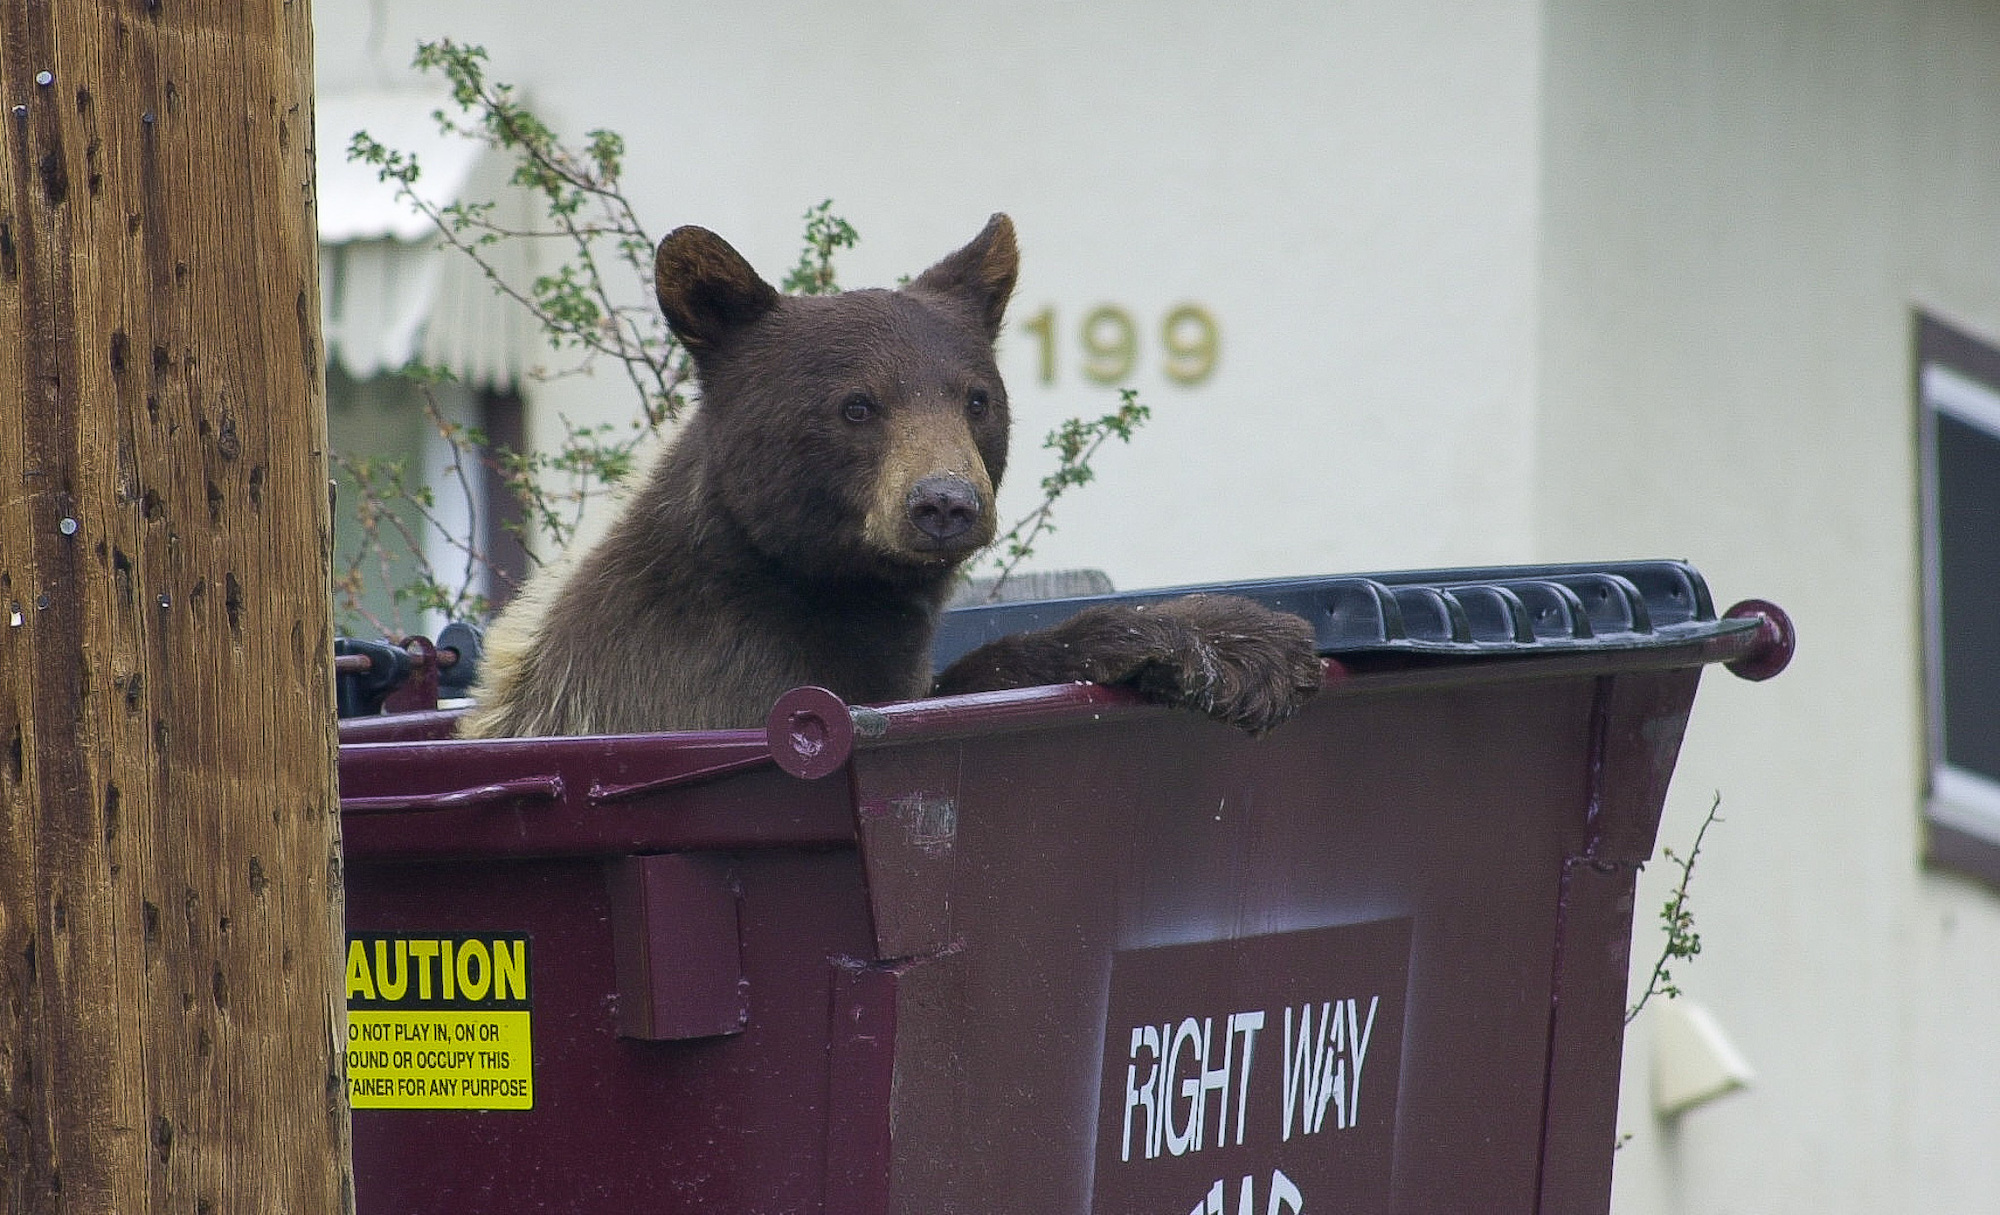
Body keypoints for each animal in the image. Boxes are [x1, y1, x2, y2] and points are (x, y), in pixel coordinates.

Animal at [458, 214, 1323, 740]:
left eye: (976, 397)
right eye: (856, 405)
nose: (944, 502)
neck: (814, 585)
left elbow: (958, 680)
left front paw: (1242, 640)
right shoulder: (695, 682)